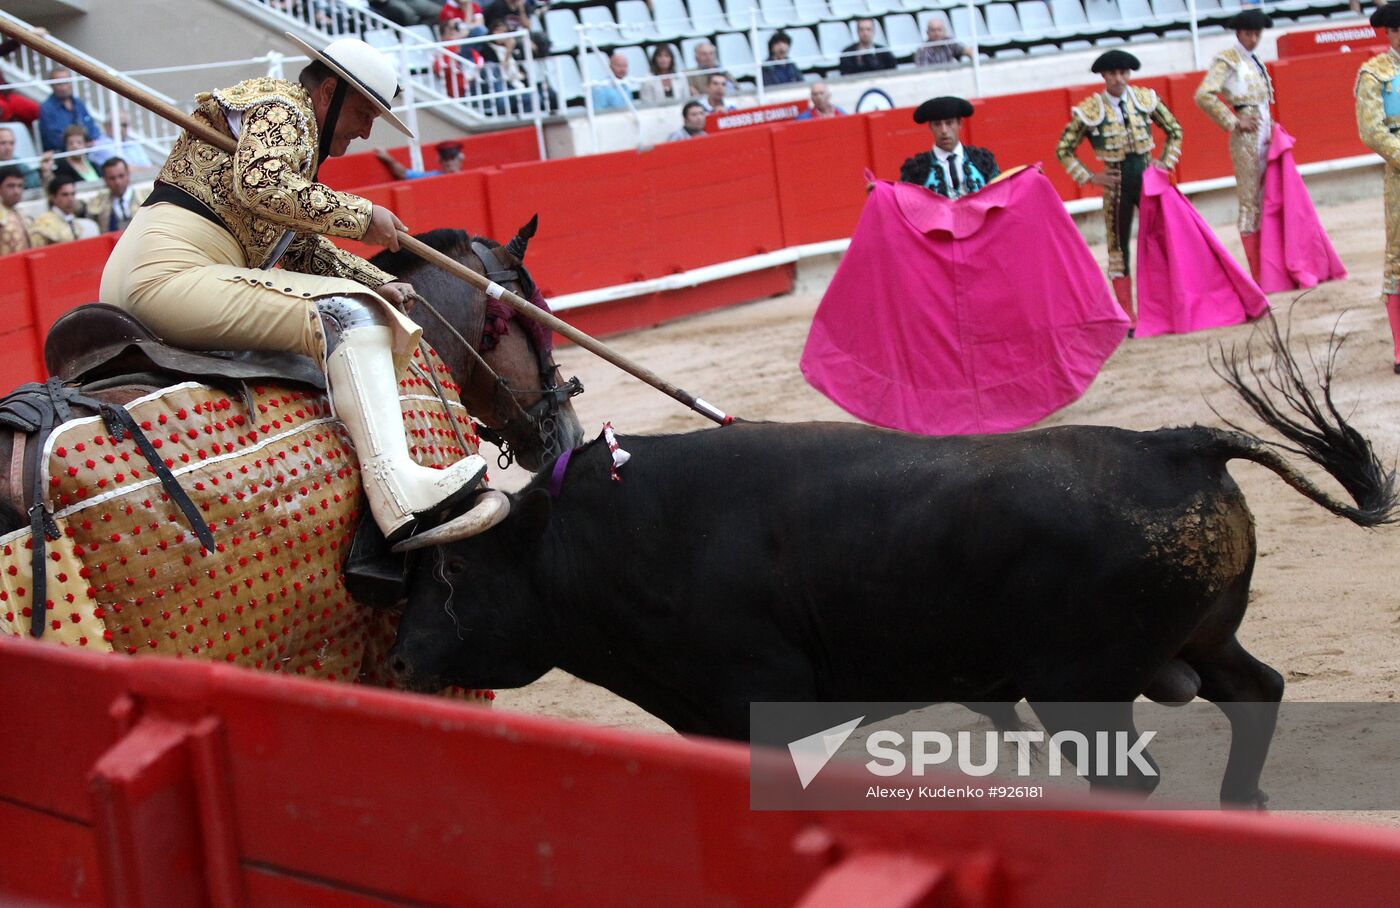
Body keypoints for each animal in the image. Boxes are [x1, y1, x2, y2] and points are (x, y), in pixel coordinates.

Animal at [389, 328, 1394, 805]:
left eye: (456, 579)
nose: (396, 661)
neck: (574, 543)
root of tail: (1176, 443)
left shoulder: (755, 703)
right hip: (1200, 643)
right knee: (1257, 692)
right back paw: (1244, 803)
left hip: (1083, 688)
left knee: (1132, 779)